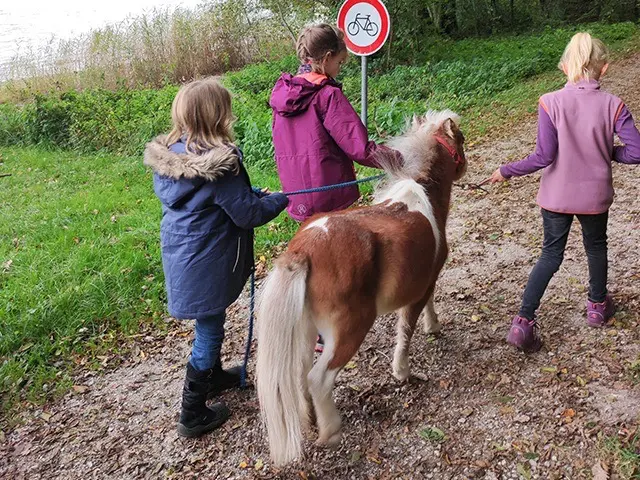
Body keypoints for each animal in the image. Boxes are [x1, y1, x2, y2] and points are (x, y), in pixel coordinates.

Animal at [254, 109, 464, 464]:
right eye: (460, 139)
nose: (464, 166)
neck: (423, 194)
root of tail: (304, 249)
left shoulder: (426, 279)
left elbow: (429, 303)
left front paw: (432, 326)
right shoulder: (419, 288)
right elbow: (406, 329)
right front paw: (402, 371)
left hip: (308, 329)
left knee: (300, 373)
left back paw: (311, 419)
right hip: (351, 328)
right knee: (319, 378)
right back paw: (331, 431)